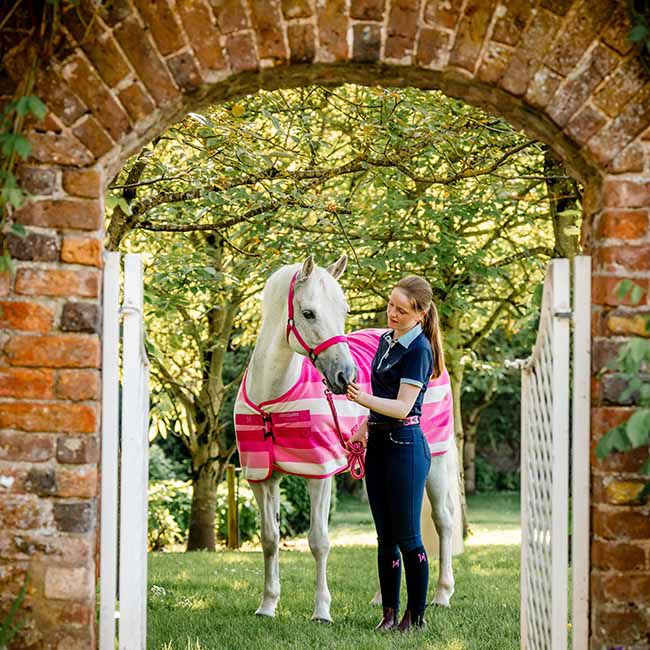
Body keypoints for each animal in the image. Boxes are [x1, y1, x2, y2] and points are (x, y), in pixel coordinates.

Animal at [234, 255, 458, 623]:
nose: (346, 376)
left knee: (444, 522)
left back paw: (442, 594)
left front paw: (321, 610)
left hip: (436, 465)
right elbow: (269, 539)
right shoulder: (261, 478)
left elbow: (318, 541)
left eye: (343, 310)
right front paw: (267, 605)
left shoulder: (319, 475)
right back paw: (380, 598)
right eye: (308, 313)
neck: (272, 399)